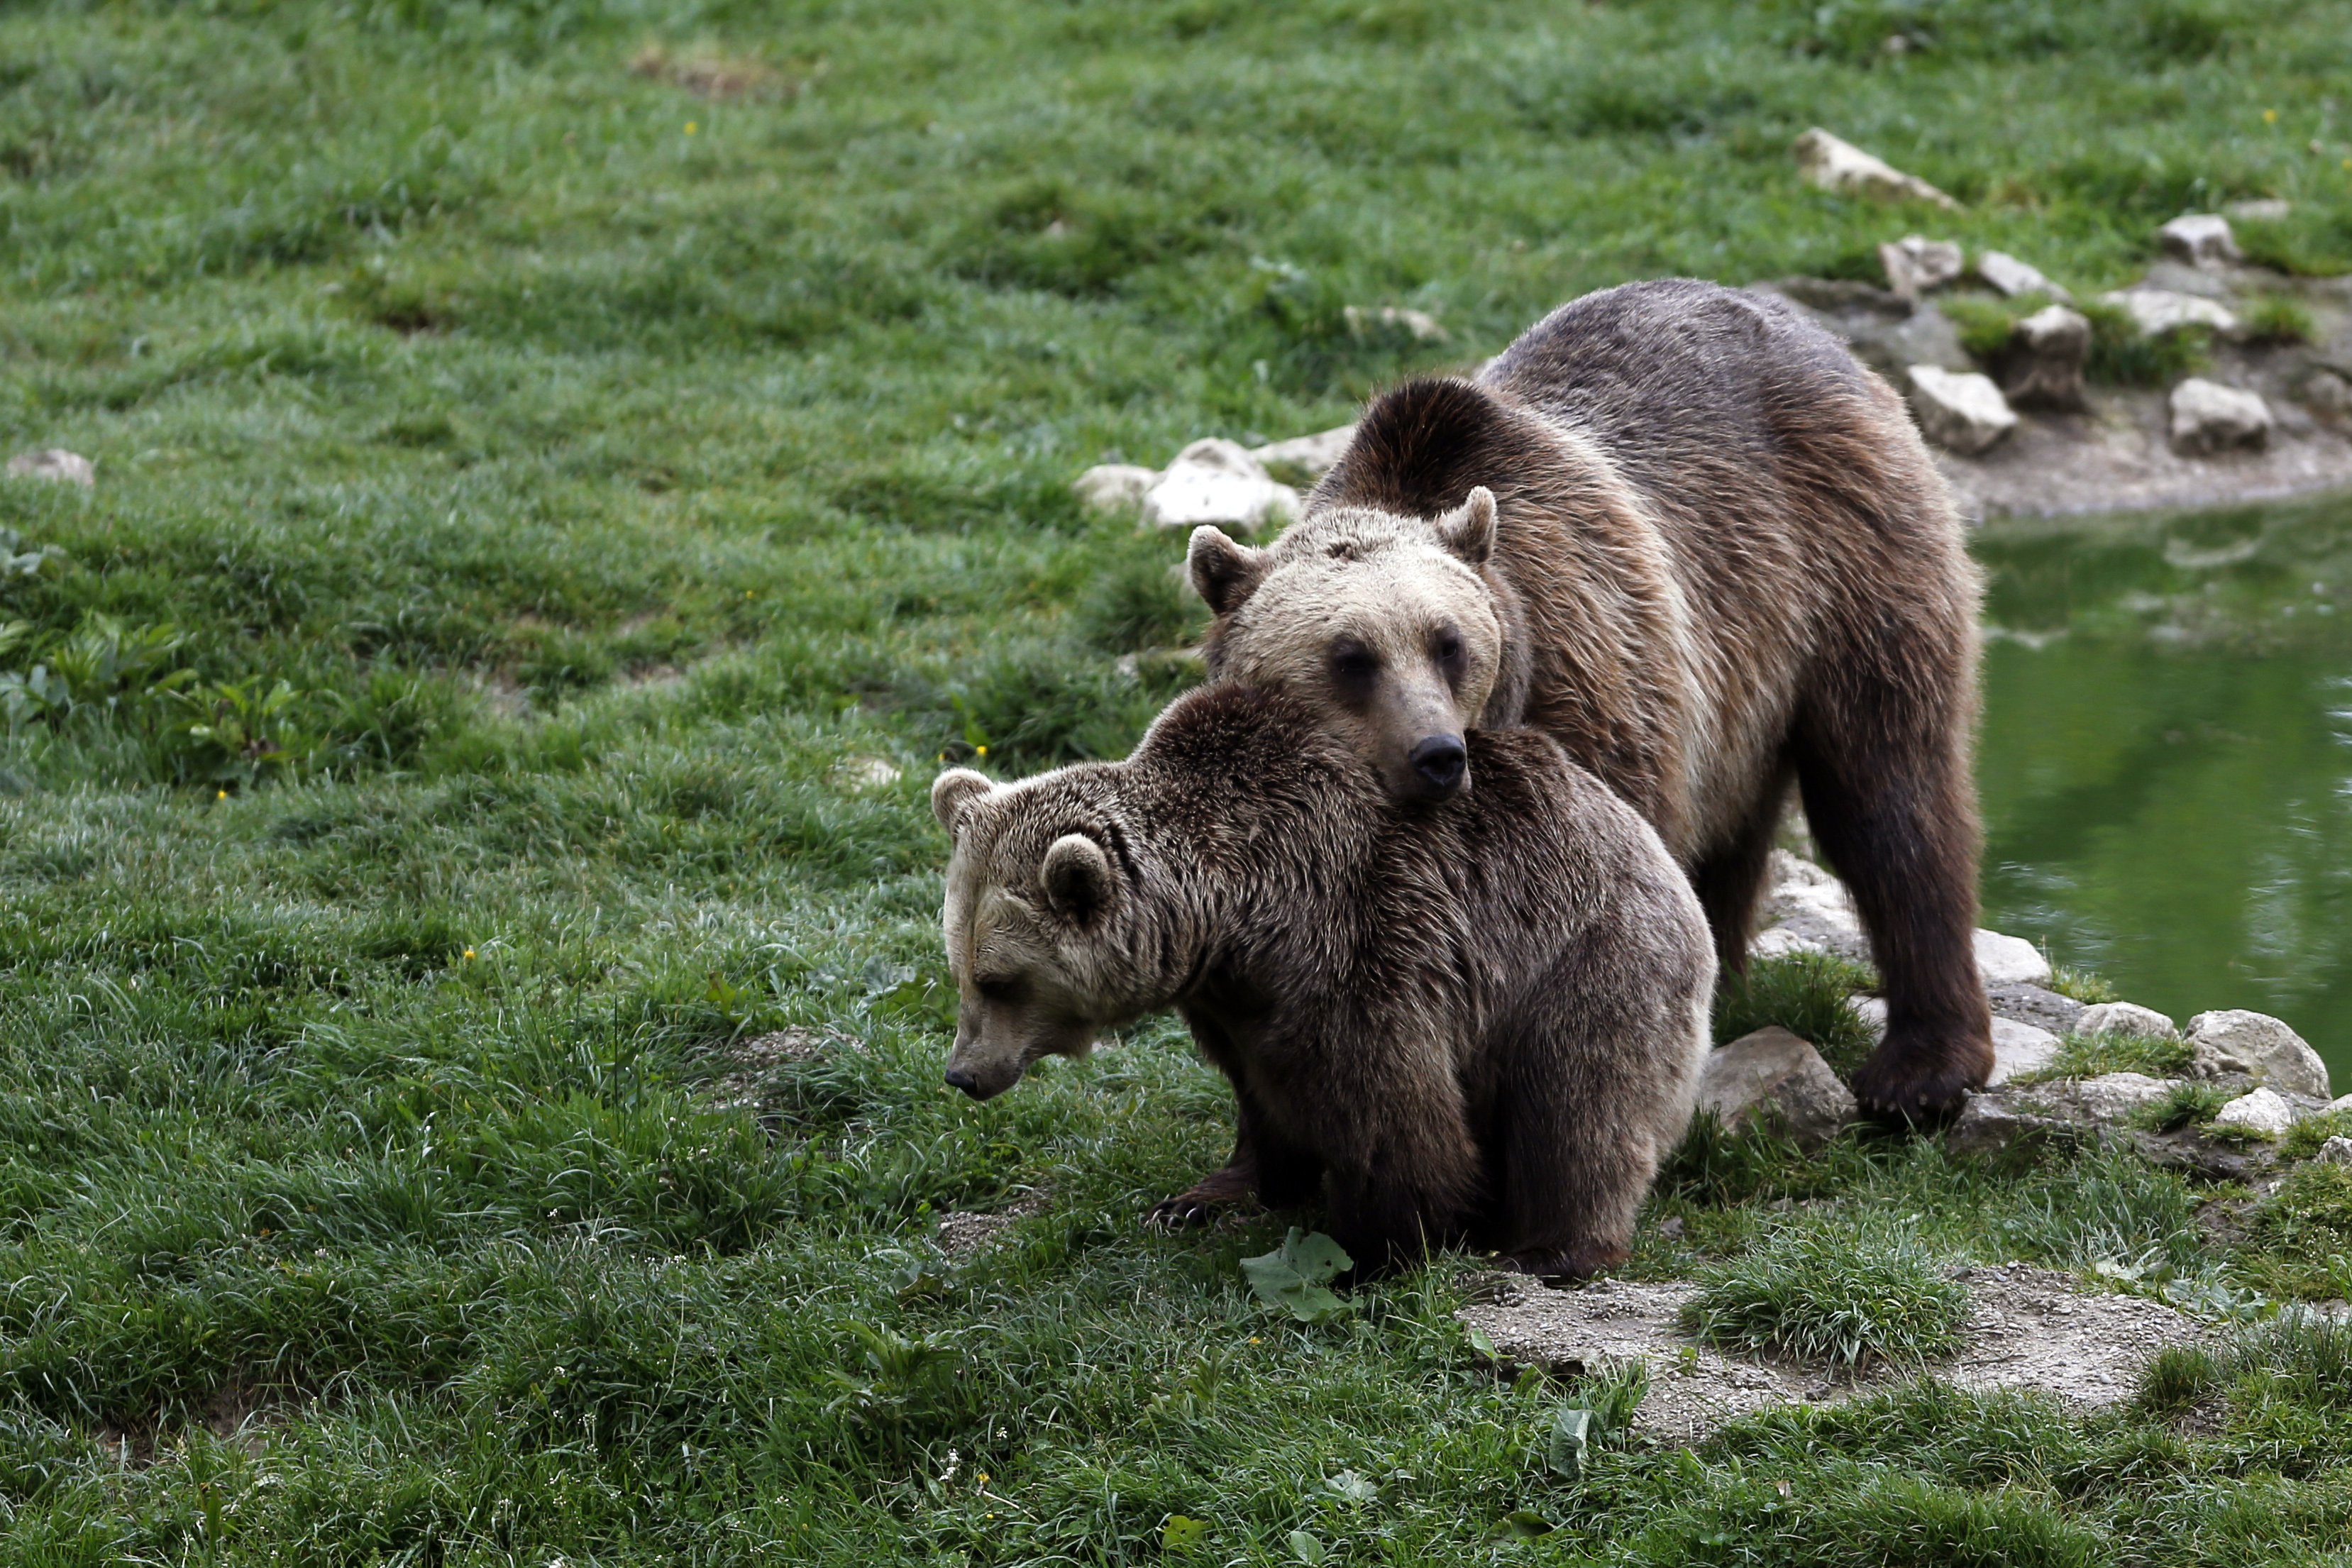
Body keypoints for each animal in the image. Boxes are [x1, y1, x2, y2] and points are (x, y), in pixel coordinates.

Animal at [929, 680, 1714, 1279]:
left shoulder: (1363, 940)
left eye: (1000, 979)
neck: (1236, 912)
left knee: (1578, 1104)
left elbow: (1389, 1111)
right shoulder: (1234, 1001)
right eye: (959, 968)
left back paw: (1549, 1248)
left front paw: (1372, 1250)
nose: (963, 1073)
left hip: (1586, 958)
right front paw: (1204, 1195)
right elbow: (1261, 1098)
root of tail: (1667, 865)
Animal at [1184, 277, 1988, 1134]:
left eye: (1448, 643)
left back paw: (1922, 1067)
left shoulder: (1591, 682)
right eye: (1349, 658)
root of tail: (1816, 334)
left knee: (1886, 796)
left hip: (1844, 568)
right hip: (1740, 686)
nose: (1436, 755)